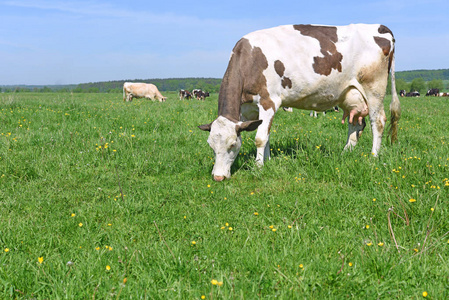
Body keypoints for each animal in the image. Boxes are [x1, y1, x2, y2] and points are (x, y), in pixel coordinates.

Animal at [198, 23, 400, 182]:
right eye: (210, 145)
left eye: (233, 144)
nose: (218, 177)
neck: (250, 59)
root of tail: (380, 27)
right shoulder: (247, 109)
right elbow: (267, 135)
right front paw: (267, 161)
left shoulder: (268, 101)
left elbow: (260, 138)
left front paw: (258, 167)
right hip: (350, 95)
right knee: (356, 125)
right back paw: (344, 154)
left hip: (374, 89)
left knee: (378, 122)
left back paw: (373, 157)